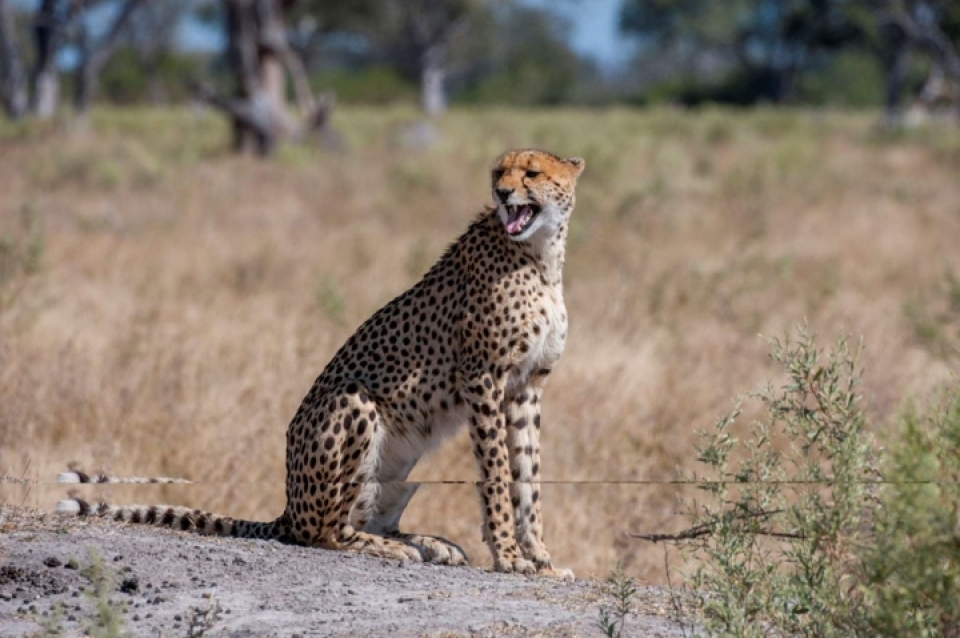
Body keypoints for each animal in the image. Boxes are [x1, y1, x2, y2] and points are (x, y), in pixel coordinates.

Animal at [62, 150, 584, 580]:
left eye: (531, 173)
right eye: (498, 173)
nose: (503, 193)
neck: (539, 254)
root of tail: (288, 507)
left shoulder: (526, 385)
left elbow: (528, 474)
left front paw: (540, 558)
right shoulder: (483, 378)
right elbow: (497, 472)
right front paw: (508, 557)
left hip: (402, 466)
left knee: (365, 517)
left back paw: (429, 543)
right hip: (354, 402)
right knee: (326, 532)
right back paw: (398, 548)